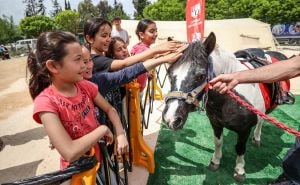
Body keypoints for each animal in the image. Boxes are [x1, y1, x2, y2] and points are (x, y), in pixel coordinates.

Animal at [162, 32, 290, 182]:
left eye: (201, 76)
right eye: (170, 73)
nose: (170, 118)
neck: (227, 100)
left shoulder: (244, 130)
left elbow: (240, 148)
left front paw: (239, 170)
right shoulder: (215, 123)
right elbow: (218, 142)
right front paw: (215, 161)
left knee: (262, 121)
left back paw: (257, 138)